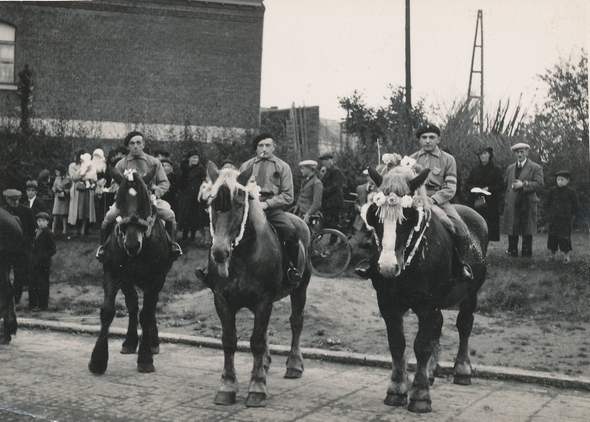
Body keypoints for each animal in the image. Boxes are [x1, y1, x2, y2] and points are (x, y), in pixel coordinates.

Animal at [89, 166, 173, 374]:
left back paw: (152, 342)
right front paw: (98, 359)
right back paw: (130, 341)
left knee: (150, 307)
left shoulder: (156, 278)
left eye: (145, 202)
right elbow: (109, 311)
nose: (132, 244)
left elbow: (146, 313)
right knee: (133, 304)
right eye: (119, 201)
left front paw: (145, 358)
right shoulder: (113, 273)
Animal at [204, 163, 314, 408]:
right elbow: (229, 341)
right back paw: (264, 362)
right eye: (213, 204)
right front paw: (227, 387)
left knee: (296, 322)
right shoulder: (221, 300)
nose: (219, 253)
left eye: (239, 204)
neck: (243, 255)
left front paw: (257, 388)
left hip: (300, 289)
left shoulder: (264, 301)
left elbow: (255, 342)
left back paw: (294, 365)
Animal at [360, 166, 490, 414]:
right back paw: (430, 371)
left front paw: (420, 395)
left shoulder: (427, 305)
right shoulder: (387, 303)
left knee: (464, 324)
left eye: (409, 216)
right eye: (374, 215)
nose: (387, 266)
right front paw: (397, 389)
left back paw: (462, 369)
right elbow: (397, 344)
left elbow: (421, 345)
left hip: (471, 294)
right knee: (437, 329)